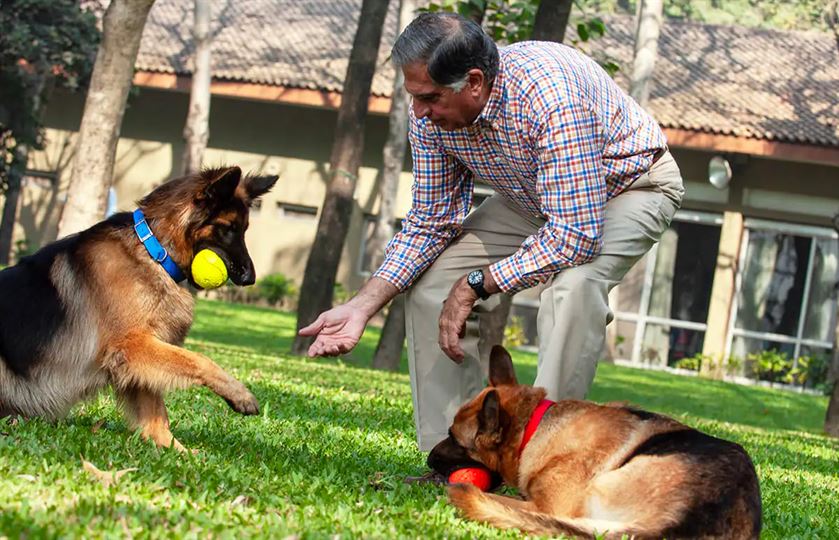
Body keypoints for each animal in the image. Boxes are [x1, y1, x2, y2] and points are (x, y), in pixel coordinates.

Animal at [0, 166, 278, 452]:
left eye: (243, 229)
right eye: (228, 228)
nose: (250, 279)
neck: (154, 251)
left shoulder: (139, 357)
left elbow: (156, 414)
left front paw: (175, 450)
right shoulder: (132, 345)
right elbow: (199, 360)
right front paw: (240, 394)